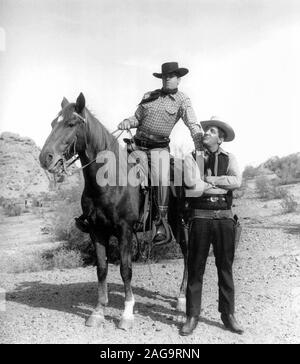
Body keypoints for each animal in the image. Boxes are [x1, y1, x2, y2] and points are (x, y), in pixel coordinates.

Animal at [39, 91, 189, 330]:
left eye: (71, 123)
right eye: (53, 123)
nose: (45, 158)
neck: (108, 181)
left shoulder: (124, 230)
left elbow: (125, 269)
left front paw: (126, 314)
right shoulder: (96, 231)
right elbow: (102, 268)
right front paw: (98, 311)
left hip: (180, 224)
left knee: (188, 255)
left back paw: (182, 301)